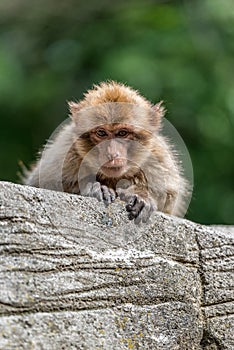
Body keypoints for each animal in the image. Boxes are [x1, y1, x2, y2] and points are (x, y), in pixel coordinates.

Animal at [23, 80, 189, 223]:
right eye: (101, 133)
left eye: (122, 133)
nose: (112, 153)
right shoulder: (65, 152)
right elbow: (39, 183)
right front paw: (98, 188)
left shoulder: (158, 158)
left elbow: (169, 196)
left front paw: (142, 197)